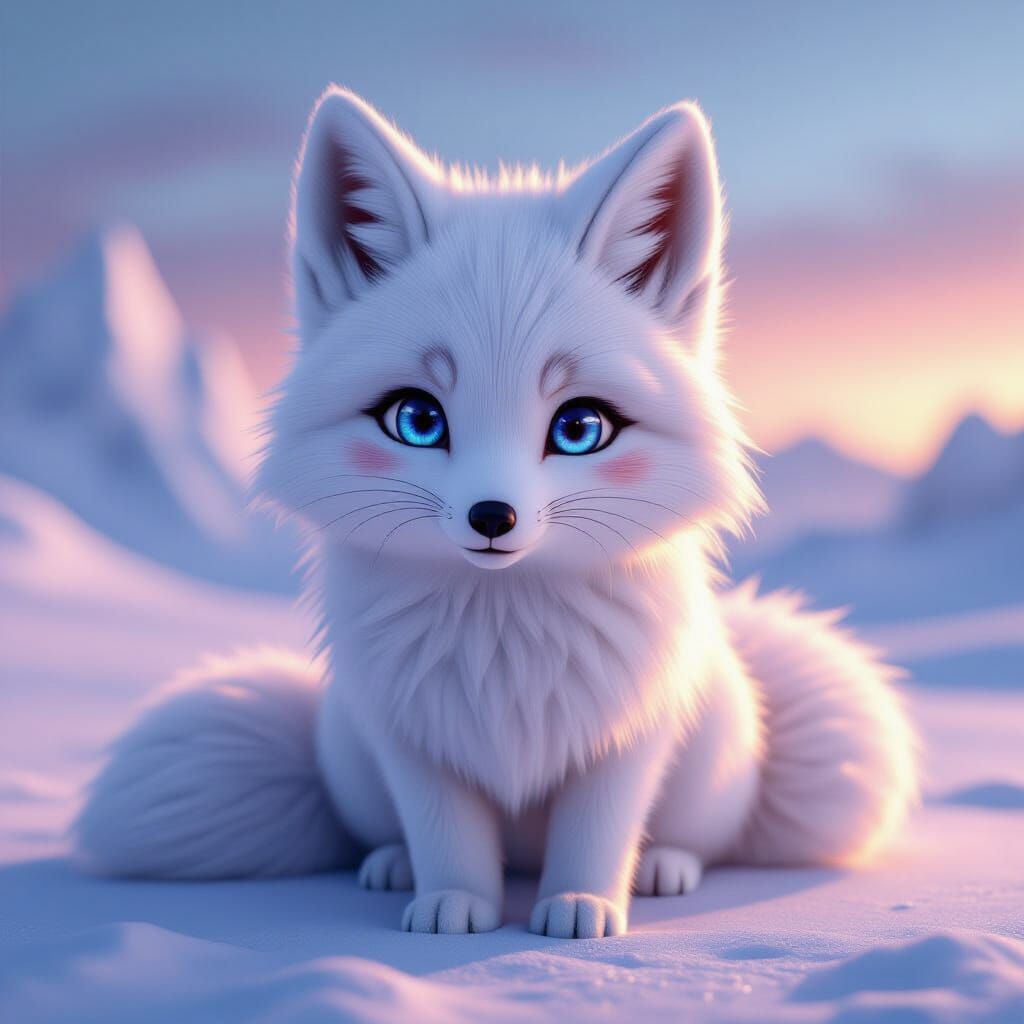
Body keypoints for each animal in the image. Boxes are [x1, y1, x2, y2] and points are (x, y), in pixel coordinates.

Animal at [73, 89, 917, 938]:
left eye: (580, 428)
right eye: (417, 419)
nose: (492, 517)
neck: (504, 634)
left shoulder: (626, 736)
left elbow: (598, 832)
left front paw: (580, 911)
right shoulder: (412, 739)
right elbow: (445, 835)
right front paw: (452, 908)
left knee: (700, 839)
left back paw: (662, 868)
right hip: (350, 756)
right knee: (380, 833)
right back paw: (391, 866)